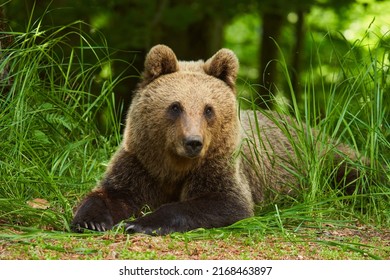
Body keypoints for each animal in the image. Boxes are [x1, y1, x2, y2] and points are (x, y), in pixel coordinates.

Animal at [71, 44, 362, 235]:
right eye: (175, 106)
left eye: (208, 109)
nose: (193, 142)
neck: (174, 166)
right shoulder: (140, 163)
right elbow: (113, 192)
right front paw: (90, 220)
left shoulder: (220, 164)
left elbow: (224, 202)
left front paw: (141, 223)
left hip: (326, 158)